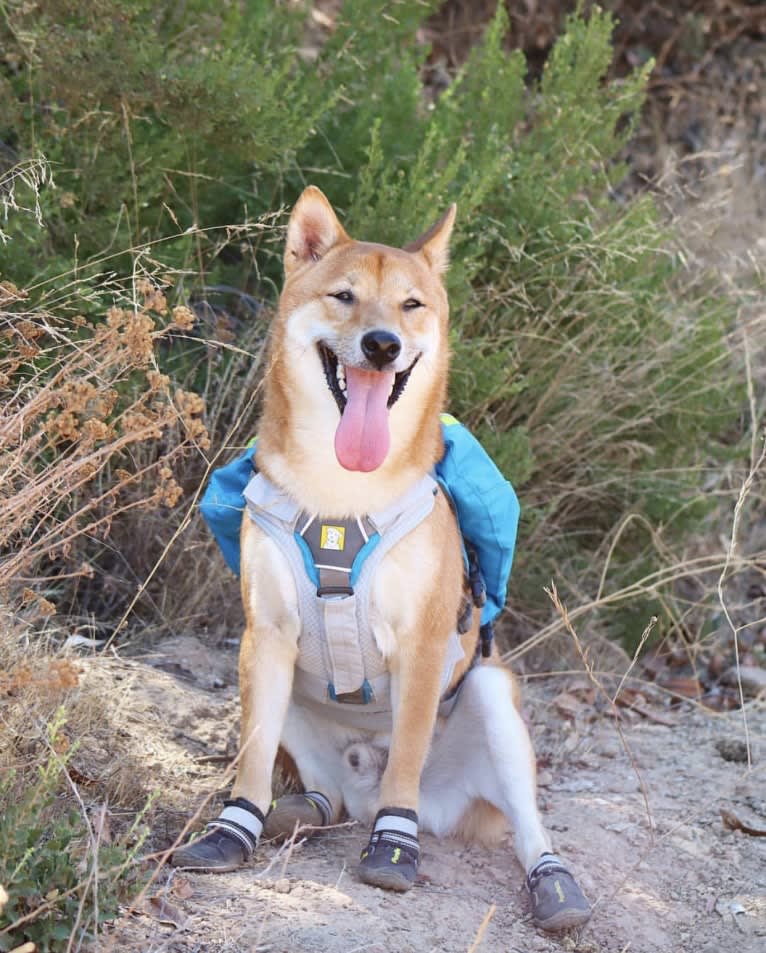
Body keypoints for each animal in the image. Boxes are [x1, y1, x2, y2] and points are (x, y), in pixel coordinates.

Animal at [174, 186, 592, 928]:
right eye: (344, 296)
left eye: (411, 304)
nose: (381, 344)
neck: (342, 494)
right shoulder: (266, 634)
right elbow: (251, 759)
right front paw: (232, 832)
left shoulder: (423, 646)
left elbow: (404, 766)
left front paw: (393, 850)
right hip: (273, 684)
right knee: (323, 789)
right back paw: (297, 811)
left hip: (490, 695)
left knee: (524, 825)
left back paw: (552, 884)